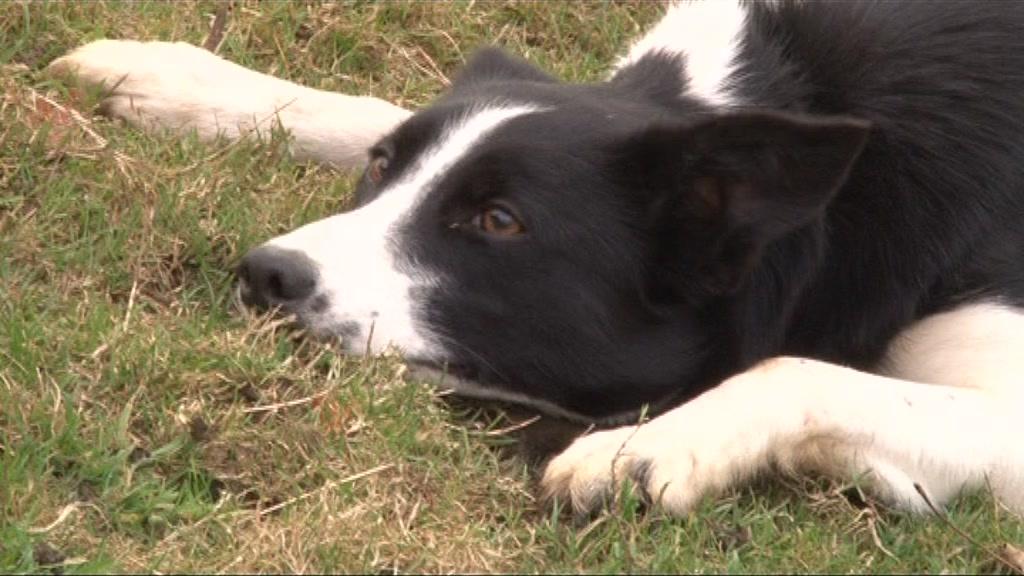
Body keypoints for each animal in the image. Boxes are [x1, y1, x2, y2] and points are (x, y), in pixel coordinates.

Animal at [49, 0, 1024, 518]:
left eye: (501, 222)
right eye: (382, 169)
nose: (267, 273)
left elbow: (794, 369)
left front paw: (642, 450)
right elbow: (366, 104)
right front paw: (173, 79)